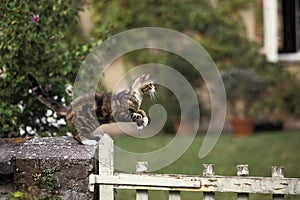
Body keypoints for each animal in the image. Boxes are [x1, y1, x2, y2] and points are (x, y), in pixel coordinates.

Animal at [27, 73, 156, 144]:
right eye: (150, 85)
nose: (155, 89)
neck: (136, 95)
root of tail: (69, 108)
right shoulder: (122, 114)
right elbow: (136, 115)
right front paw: (140, 124)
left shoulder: (135, 108)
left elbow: (141, 111)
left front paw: (145, 121)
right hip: (88, 121)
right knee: (77, 135)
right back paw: (89, 142)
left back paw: (95, 137)